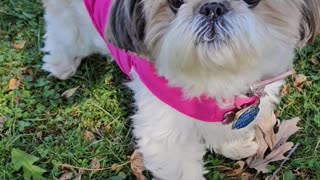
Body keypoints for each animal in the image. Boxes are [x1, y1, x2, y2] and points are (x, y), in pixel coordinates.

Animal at [41, 0, 318, 179]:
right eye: (175, 2)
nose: (212, 7)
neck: (214, 75)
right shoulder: (166, 139)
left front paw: (234, 145)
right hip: (69, 17)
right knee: (62, 32)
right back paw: (61, 63)